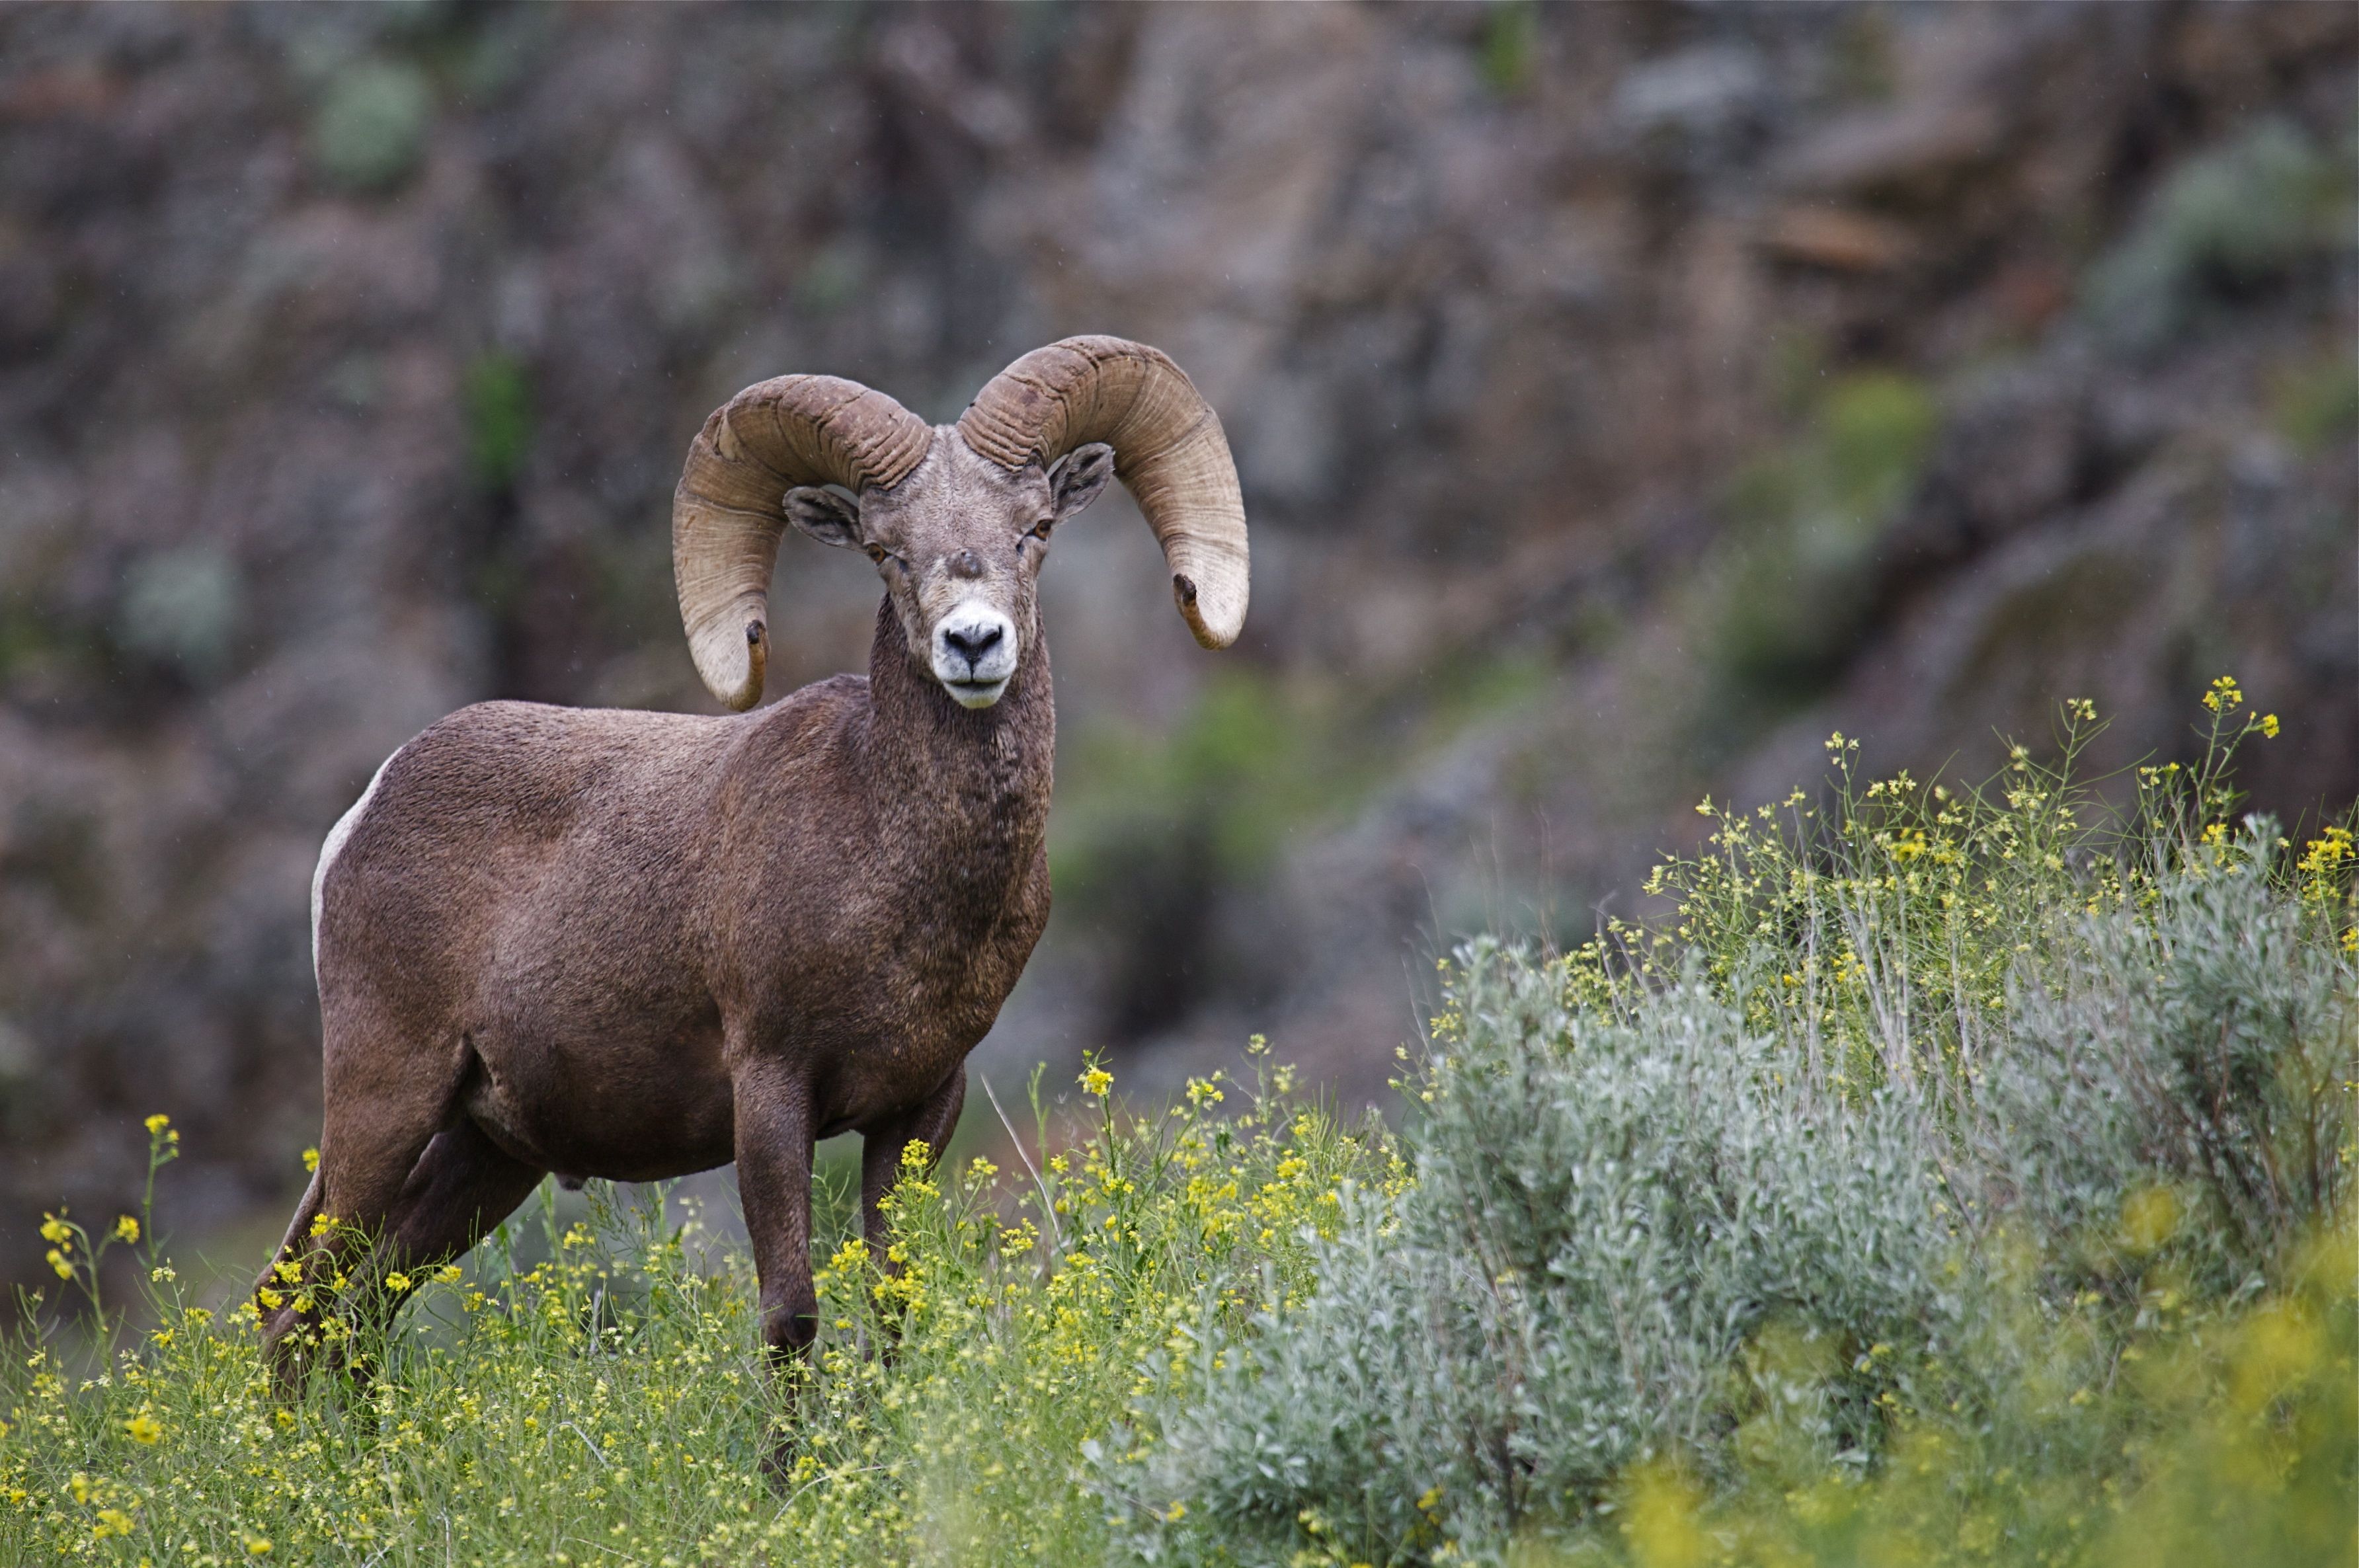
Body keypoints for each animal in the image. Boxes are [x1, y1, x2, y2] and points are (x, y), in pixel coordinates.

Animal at [260, 337, 1255, 1386]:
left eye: (1035, 529)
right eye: (887, 551)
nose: (975, 643)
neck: (890, 861)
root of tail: (362, 815)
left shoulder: (919, 1107)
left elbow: (891, 1304)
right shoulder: (772, 1094)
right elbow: (791, 1313)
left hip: (486, 1156)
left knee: (357, 1318)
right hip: (386, 1101)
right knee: (294, 1312)